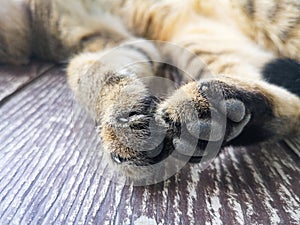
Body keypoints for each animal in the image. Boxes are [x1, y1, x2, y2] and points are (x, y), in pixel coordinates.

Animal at [0, 0, 300, 179]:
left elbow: (81, 71)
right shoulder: (112, 40)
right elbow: (86, 71)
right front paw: (121, 117)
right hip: (196, 41)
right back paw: (227, 116)